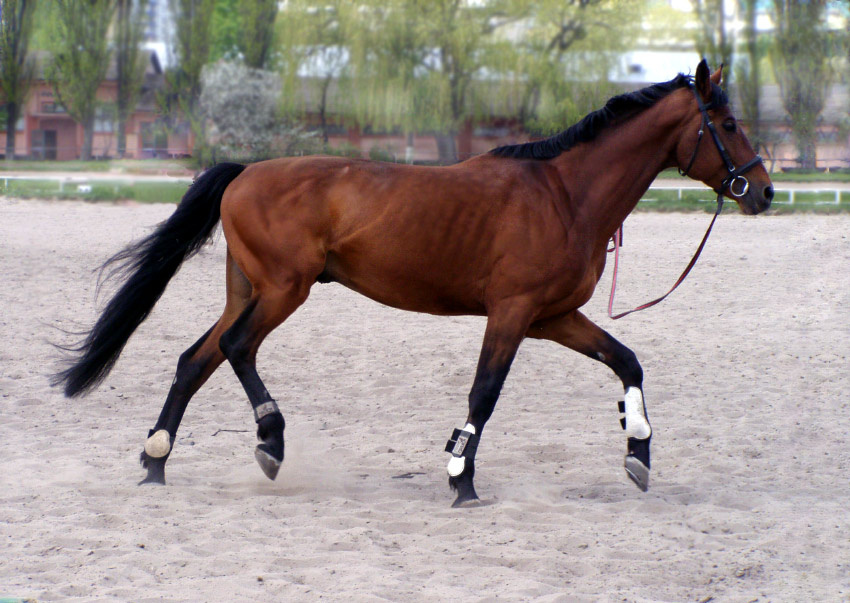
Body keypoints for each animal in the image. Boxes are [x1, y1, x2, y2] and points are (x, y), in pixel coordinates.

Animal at [54, 60, 773, 507]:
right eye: (728, 124)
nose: (764, 190)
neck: (564, 194)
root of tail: (246, 170)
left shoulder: (553, 317)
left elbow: (627, 361)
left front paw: (639, 453)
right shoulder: (512, 314)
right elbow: (484, 393)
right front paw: (460, 477)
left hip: (250, 289)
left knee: (195, 359)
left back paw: (156, 461)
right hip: (285, 289)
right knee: (235, 348)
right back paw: (270, 440)